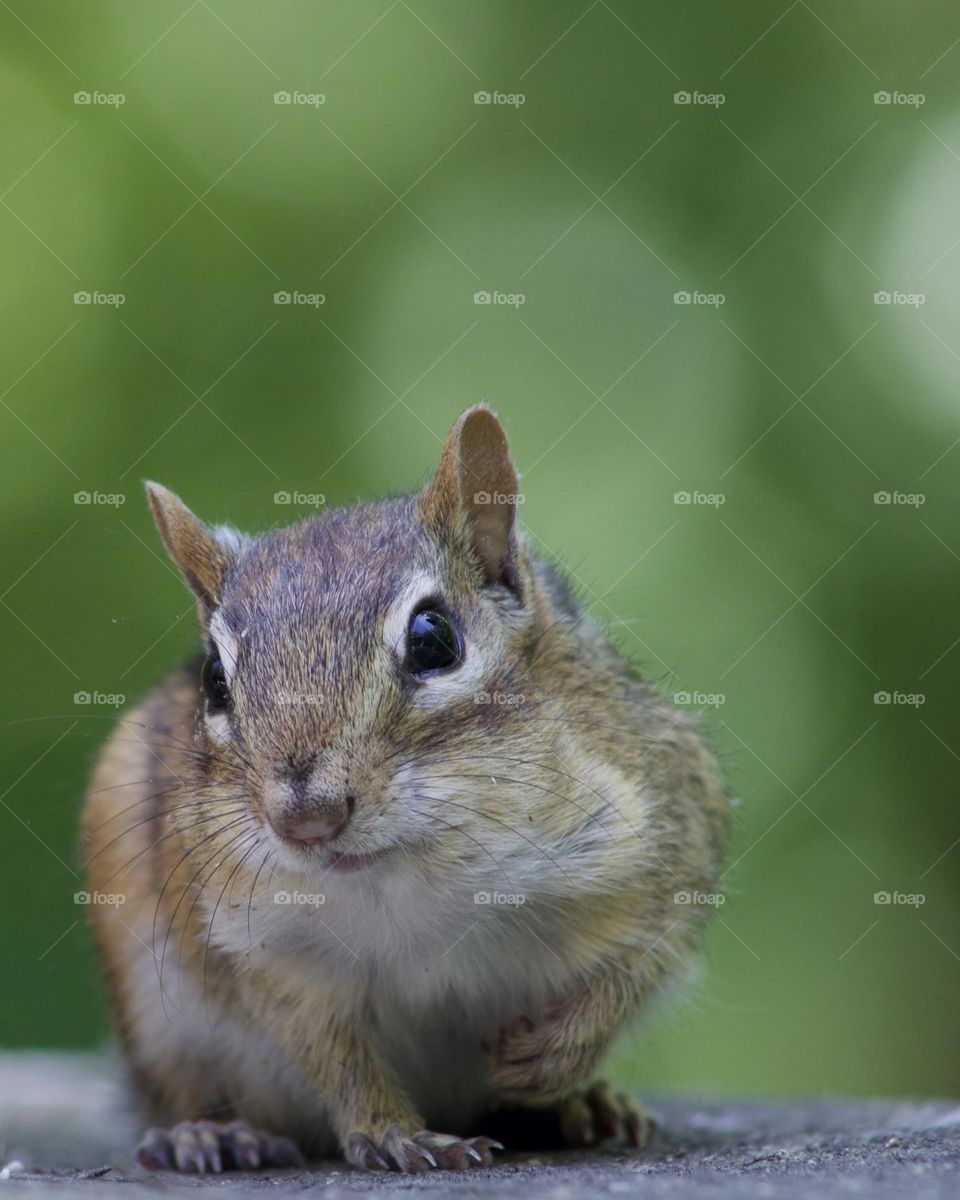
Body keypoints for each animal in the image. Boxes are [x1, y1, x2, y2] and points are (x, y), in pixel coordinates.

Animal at [81, 406, 728, 1174]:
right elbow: (334, 1056)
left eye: (433, 638)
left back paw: (584, 1106)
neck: (411, 867)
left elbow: (635, 967)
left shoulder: (666, 831)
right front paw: (394, 1132)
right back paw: (209, 1133)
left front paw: (556, 1058)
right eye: (212, 679)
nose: (307, 818)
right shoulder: (267, 952)